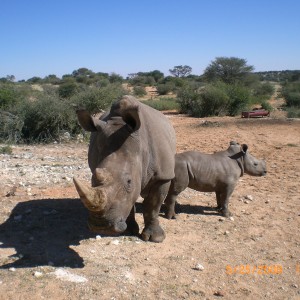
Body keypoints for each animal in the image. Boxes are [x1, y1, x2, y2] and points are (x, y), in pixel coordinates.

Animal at [73, 95, 176, 243]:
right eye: (92, 179)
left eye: (129, 181)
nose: (101, 226)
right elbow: (128, 202)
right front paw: (128, 231)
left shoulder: (163, 175)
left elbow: (153, 206)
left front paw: (155, 238)